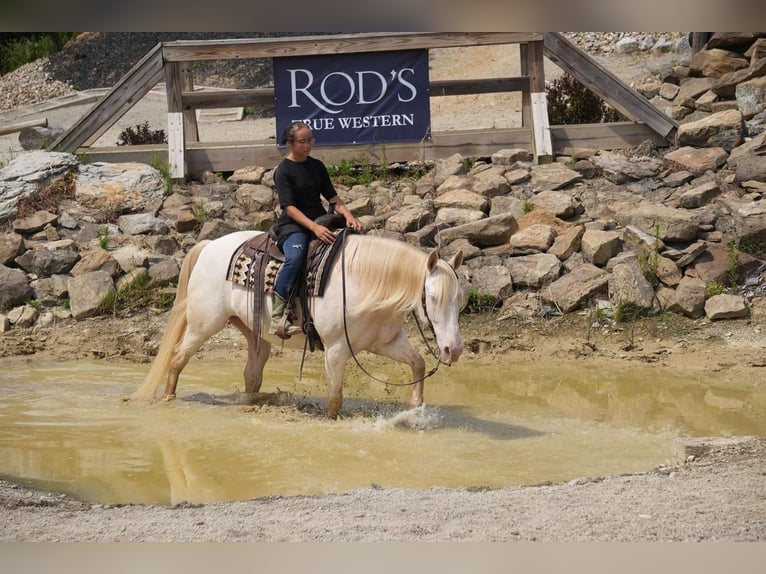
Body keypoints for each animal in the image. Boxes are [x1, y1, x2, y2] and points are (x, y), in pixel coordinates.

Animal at [128, 231, 464, 424]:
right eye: (433, 297)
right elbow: (335, 397)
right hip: (203, 325)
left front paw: (416, 408)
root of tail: (210, 246)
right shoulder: (336, 349)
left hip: (253, 333)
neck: (364, 281)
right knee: (177, 358)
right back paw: (168, 400)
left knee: (252, 374)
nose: (454, 349)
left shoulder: (387, 343)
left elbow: (418, 363)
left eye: (459, 299)